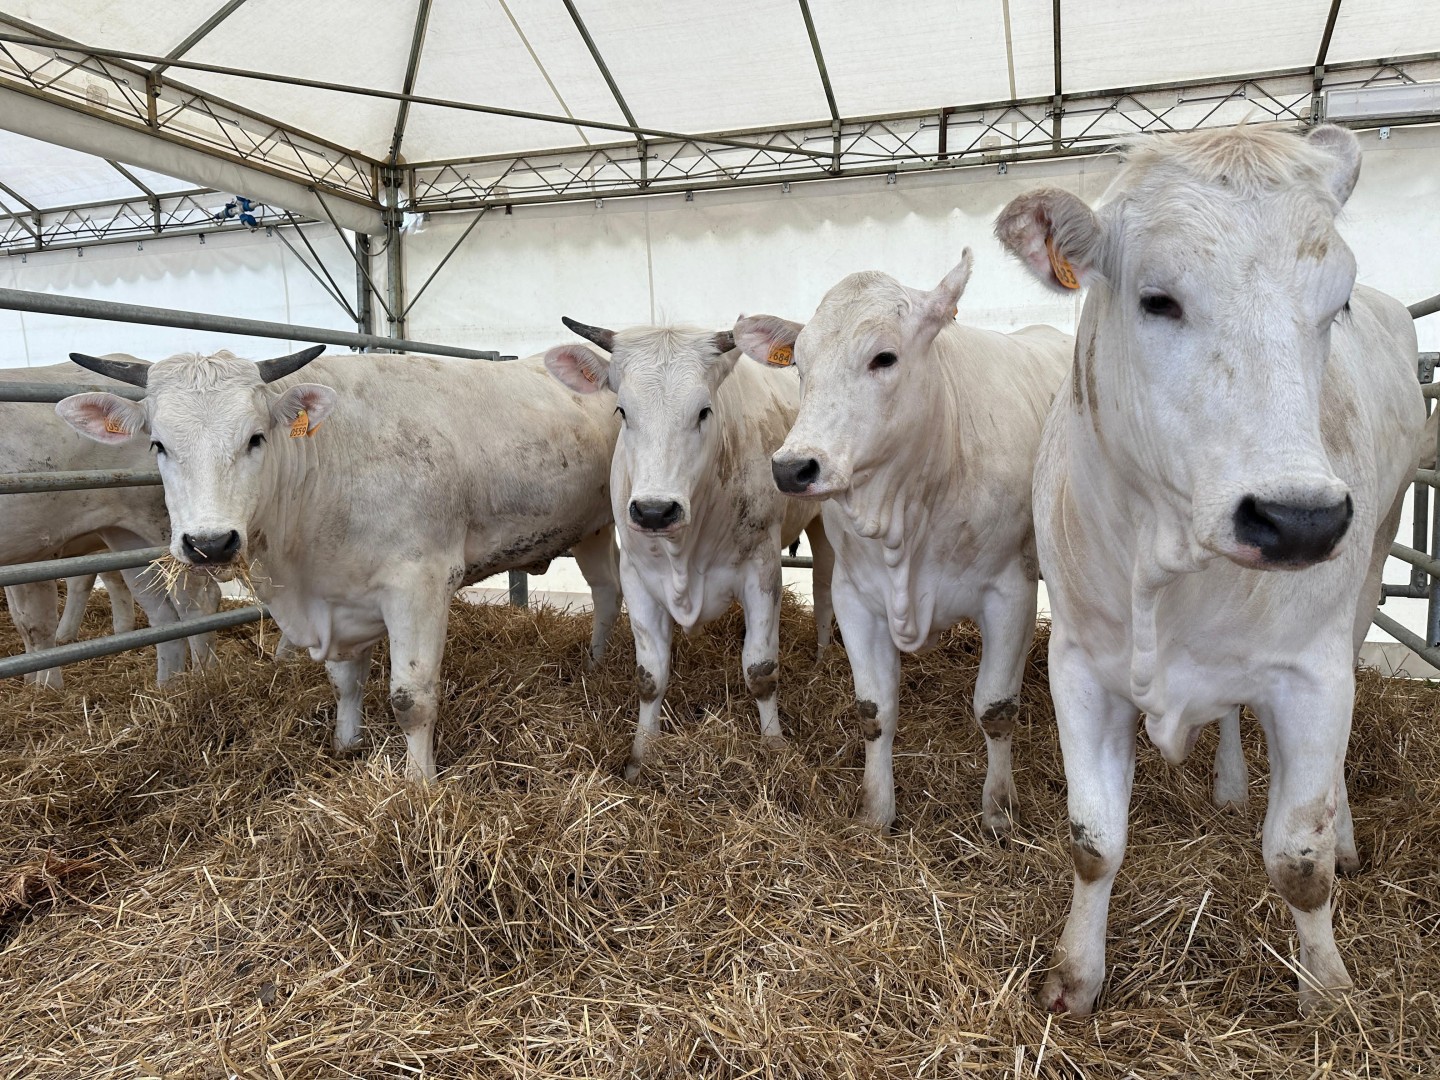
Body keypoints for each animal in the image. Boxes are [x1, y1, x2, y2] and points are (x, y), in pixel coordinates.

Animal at [0, 361, 216, 685]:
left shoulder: (37, 545)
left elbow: (39, 625)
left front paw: (48, 687)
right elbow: (24, 622)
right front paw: (32, 682)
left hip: (166, 533)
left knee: (196, 604)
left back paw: (206, 678)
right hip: (124, 535)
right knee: (163, 613)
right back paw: (167, 687)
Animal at [56, 347, 622, 777]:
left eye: (256, 438)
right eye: (158, 445)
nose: (211, 544)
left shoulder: (420, 583)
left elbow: (411, 698)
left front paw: (420, 785)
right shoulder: (339, 598)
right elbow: (345, 681)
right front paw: (346, 744)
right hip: (593, 530)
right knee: (607, 591)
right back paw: (596, 662)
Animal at [541, 316, 835, 783]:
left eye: (703, 411)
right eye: (622, 411)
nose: (654, 510)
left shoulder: (763, 571)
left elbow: (760, 670)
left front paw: (774, 747)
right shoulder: (638, 579)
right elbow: (650, 676)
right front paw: (640, 759)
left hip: (822, 523)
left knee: (823, 590)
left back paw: (822, 658)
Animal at [737, 257, 1077, 835]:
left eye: (884, 357)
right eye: (799, 364)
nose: (791, 467)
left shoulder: (1009, 592)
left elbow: (996, 707)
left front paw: (999, 811)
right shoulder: (855, 597)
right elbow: (874, 709)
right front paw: (876, 811)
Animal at [996, 122, 1422, 1019]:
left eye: (1334, 304)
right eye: (1157, 299)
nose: (1299, 517)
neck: (1167, 557)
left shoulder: (1312, 674)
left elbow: (1299, 858)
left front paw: (1329, 992)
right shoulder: (1077, 663)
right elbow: (1093, 841)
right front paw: (1075, 978)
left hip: (1374, 560)